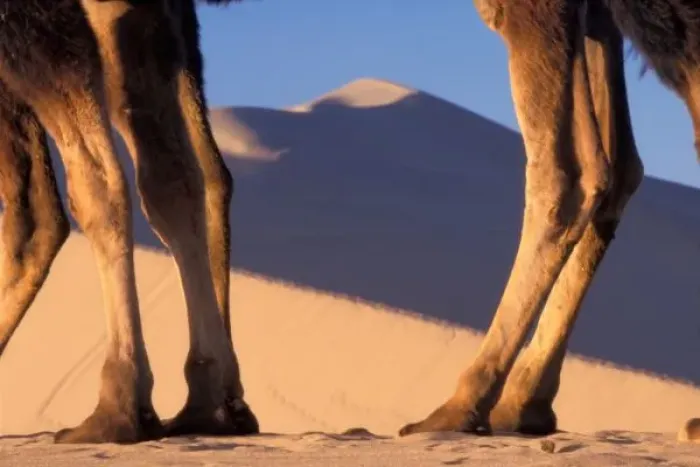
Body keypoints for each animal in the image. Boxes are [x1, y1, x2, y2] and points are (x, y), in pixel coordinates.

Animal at [399, 0, 700, 443]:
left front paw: (465, 406)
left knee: (571, 171)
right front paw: (525, 404)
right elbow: (618, 166)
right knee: (616, 166)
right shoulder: (601, 14)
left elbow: (568, 172)